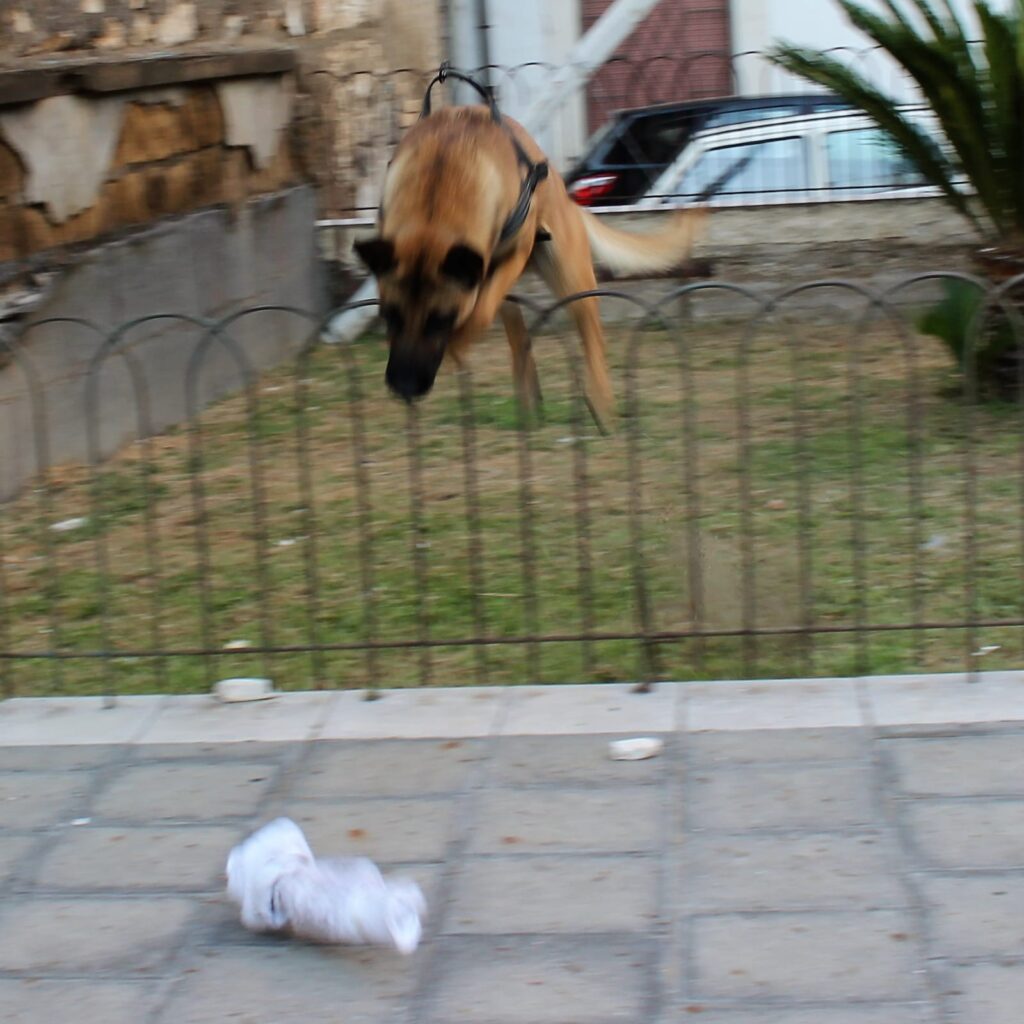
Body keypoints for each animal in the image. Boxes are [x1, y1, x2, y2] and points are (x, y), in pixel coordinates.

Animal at [358, 95, 704, 428]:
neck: (437, 190)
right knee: (518, 334)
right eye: (390, 316)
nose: (403, 388)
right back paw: (529, 398)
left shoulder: (510, 254)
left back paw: (600, 402)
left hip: (569, 275)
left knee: (590, 333)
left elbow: (479, 314)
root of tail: (569, 201)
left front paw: (458, 344)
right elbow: (486, 315)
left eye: (441, 320)